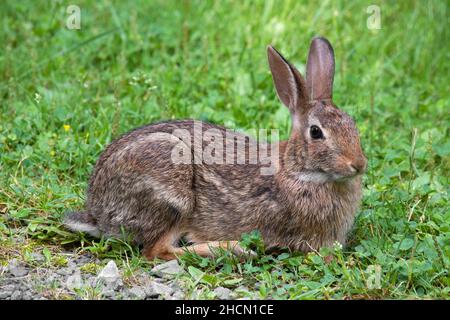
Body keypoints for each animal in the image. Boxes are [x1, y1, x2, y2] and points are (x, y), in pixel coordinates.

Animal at [64, 37, 366, 260]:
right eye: (316, 132)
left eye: (352, 123)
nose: (358, 164)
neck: (298, 171)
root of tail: (98, 213)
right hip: (173, 196)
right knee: (157, 251)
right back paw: (234, 249)